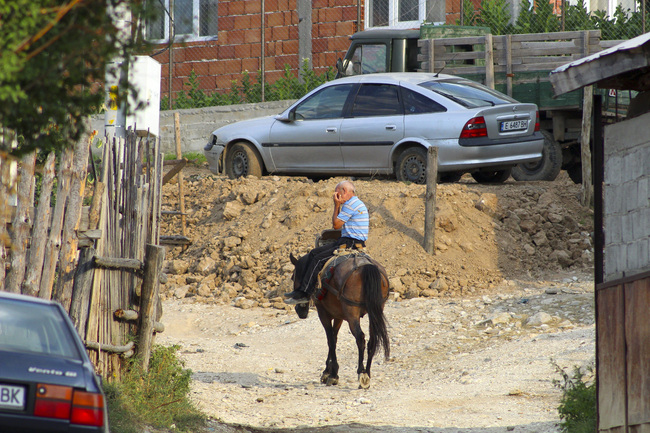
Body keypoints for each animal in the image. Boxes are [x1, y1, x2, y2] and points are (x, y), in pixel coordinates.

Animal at [290, 250, 390, 388]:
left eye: (293, 277)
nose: (300, 311)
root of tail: (366, 266)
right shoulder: (339, 317)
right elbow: (334, 337)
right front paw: (328, 371)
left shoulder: (323, 314)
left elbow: (331, 340)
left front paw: (332, 375)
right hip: (375, 311)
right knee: (372, 339)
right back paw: (368, 373)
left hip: (352, 313)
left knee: (360, 338)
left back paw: (362, 373)